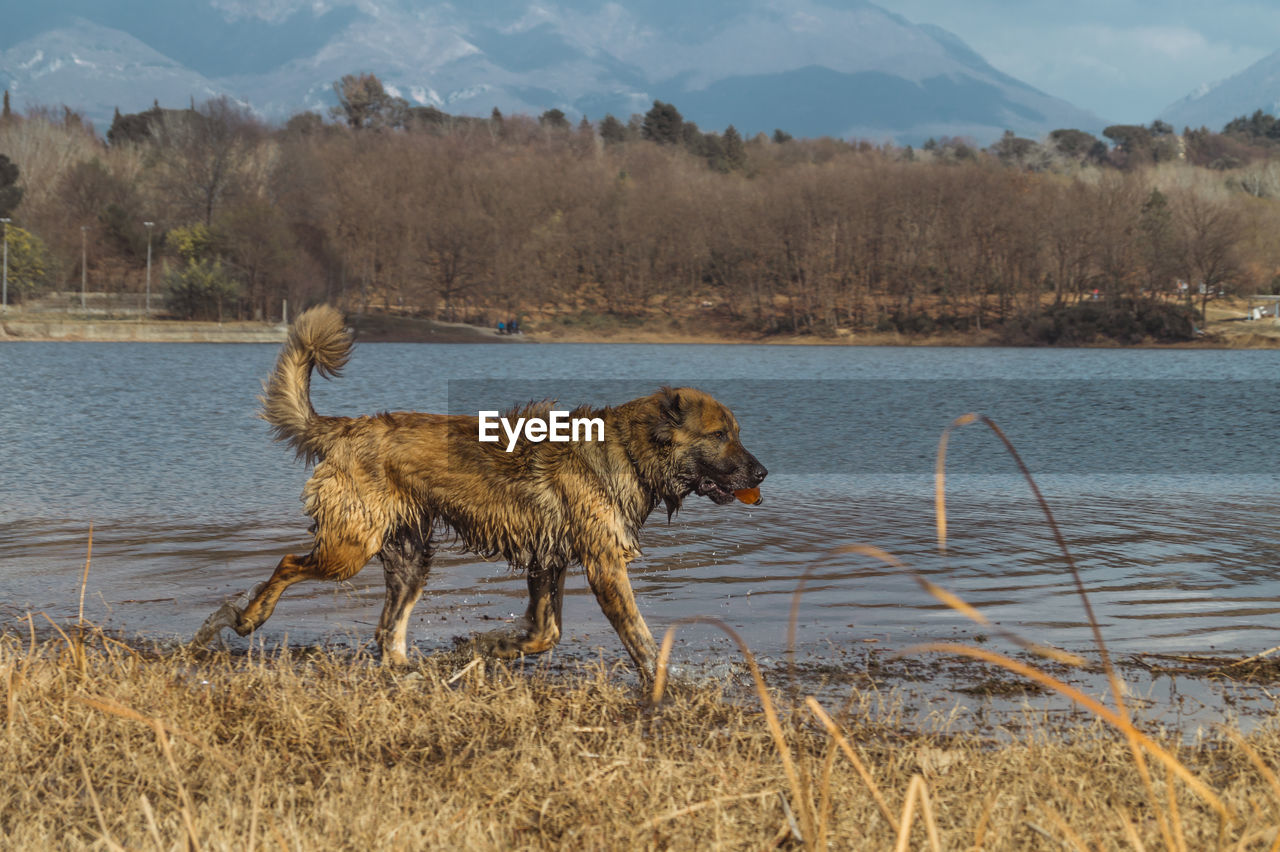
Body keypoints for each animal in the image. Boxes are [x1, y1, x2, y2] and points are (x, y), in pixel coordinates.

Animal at [194, 305, 762, 675]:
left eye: (736, 432)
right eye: (720, 435)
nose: (762, 475)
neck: (626, 449)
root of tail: (349, 428)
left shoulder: (548, 561)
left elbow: (544, 632)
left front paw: (484, 647)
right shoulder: (603, 566)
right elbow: (639, 639)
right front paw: (664, 688)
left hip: (410, 559)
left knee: (387, 628)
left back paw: (405, 667)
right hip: (350, 547)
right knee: (288, 563)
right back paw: (240, 619)